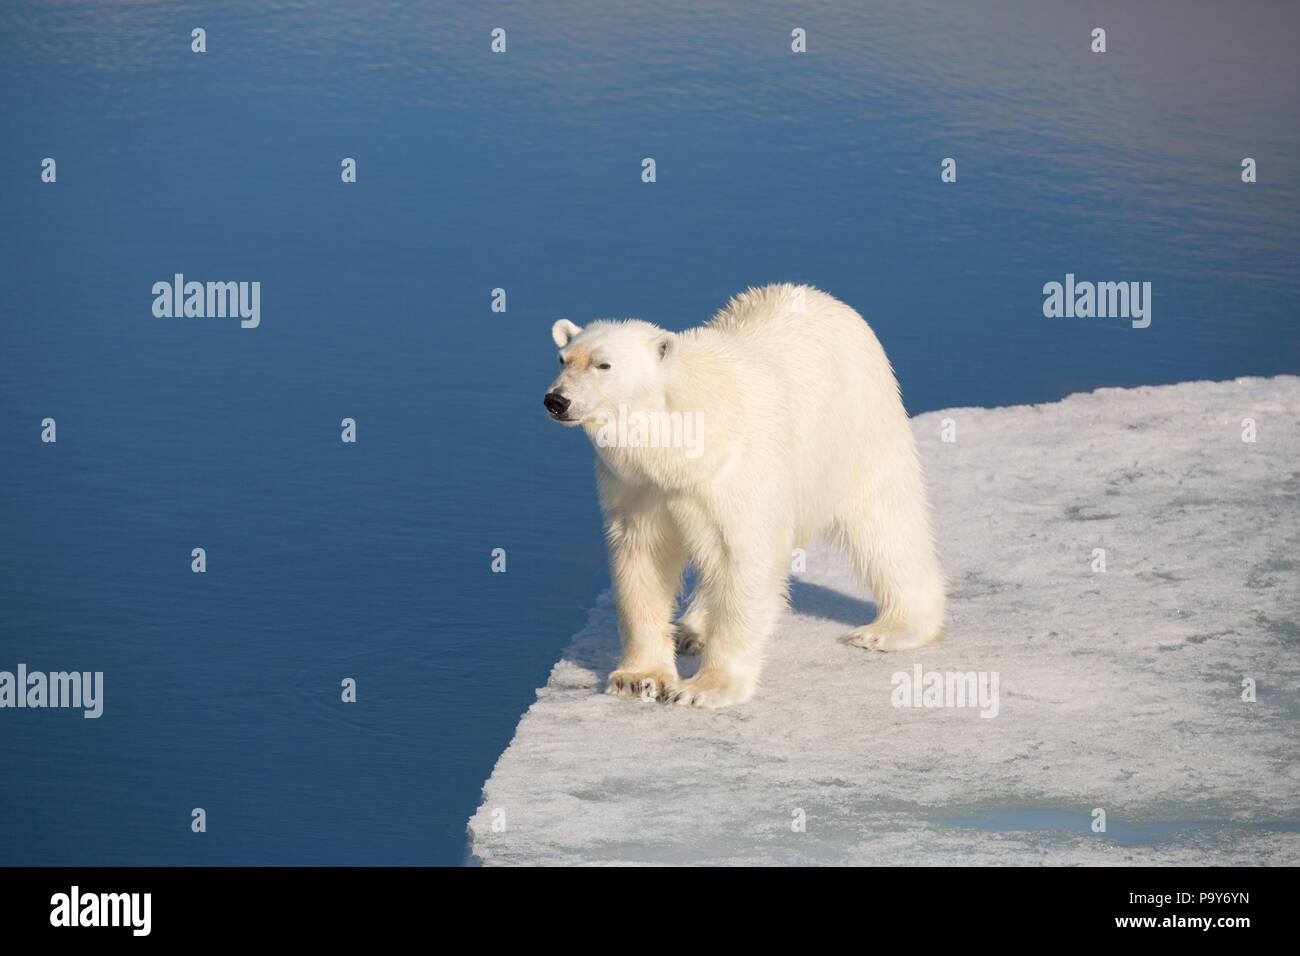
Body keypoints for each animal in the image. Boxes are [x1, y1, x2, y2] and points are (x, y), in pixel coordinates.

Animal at [540, 280, 946, 707]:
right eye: (562, 359)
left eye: (603, 364)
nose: (557, 400)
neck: (677, 449)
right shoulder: (639, 485)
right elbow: (643, 561)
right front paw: (638, 679)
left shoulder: (736, 471)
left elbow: (743, 560)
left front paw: (703, 689)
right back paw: (693, 629)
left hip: (861, 423)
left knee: (885, 521)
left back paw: (892, 628)